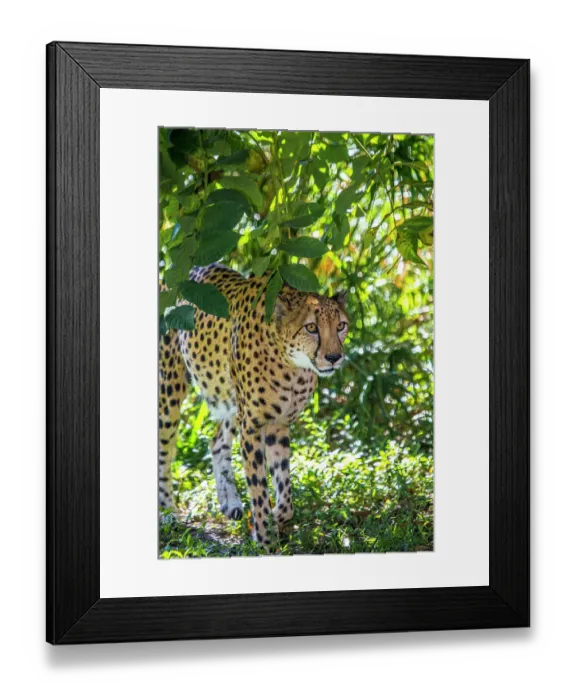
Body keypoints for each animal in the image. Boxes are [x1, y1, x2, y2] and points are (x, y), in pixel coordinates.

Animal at [159, 263, 349, 549]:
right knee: (164, 451)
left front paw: (275, 520)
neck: (294, 365)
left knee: (216, 441)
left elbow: (285, 489)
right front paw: (266, 539)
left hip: (230, 399)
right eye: (311, 328)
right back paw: (167, 512)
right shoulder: (252, 424)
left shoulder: (277, 424)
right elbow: (259, 486)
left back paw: (230, 502)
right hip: (169, 390)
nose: (334, 357)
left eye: (341, 326)